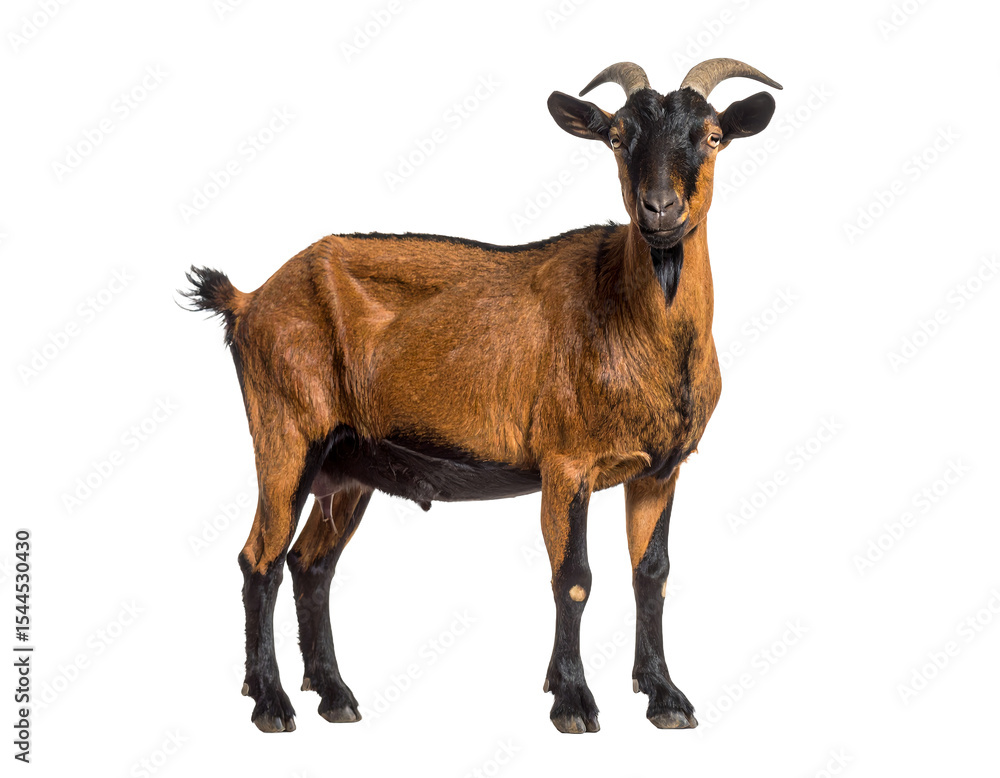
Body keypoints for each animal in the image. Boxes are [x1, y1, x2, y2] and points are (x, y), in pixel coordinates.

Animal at [185, 57, 781, 734]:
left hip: (349, 466)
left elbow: (650, 575)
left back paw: (334, 696)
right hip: (286, 434)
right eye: (616, 136)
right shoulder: (565, 463)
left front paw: (665, 697)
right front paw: (572, 701)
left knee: (311, 565)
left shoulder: (661, 470)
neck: (627, 317)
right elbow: (573, 578)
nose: (659, 209)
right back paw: (271, 702)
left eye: (713, 135)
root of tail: (248, 300)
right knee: (259, 559)